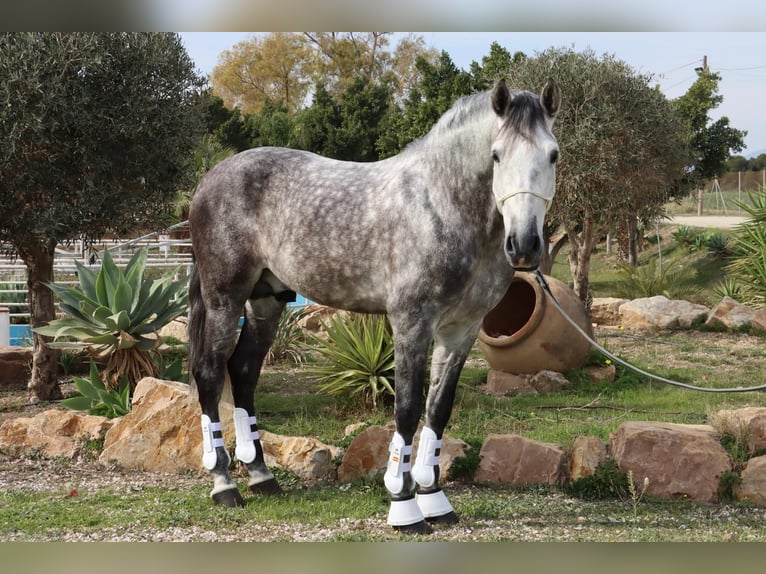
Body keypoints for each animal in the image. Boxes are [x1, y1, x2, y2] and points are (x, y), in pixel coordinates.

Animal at [190, 77, 564, 536]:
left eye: (552, 154)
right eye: (497, 155)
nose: (525, 245)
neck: (442, 205)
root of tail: (212, 178)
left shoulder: (462, 329)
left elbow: (438, 409)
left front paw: (434, 499)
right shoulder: (412, 322)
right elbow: (406, 408)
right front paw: (404, 506)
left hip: (267, 299)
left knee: (243, 371)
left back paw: (262, 477)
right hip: (224, 298)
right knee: (210, 373)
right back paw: (224, 484)